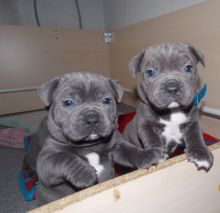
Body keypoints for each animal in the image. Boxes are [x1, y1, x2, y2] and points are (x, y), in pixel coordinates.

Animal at [22, 72, 153, 205]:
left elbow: (130, 150)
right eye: (68, 102)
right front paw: (84, 174)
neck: (90, 145)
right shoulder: (45, 162)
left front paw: (148, 154)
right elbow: (63, 157)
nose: (92, 118)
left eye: (106, 100)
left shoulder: (117, 145)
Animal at [124, 42, 214, 171]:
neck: (172, 111)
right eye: (150, 72)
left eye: (188, 68)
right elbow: (151, 137)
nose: (172, 88)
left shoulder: (192, 122)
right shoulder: (145, 124)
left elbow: (195, 136)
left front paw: (201, 153)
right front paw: (157, 155)